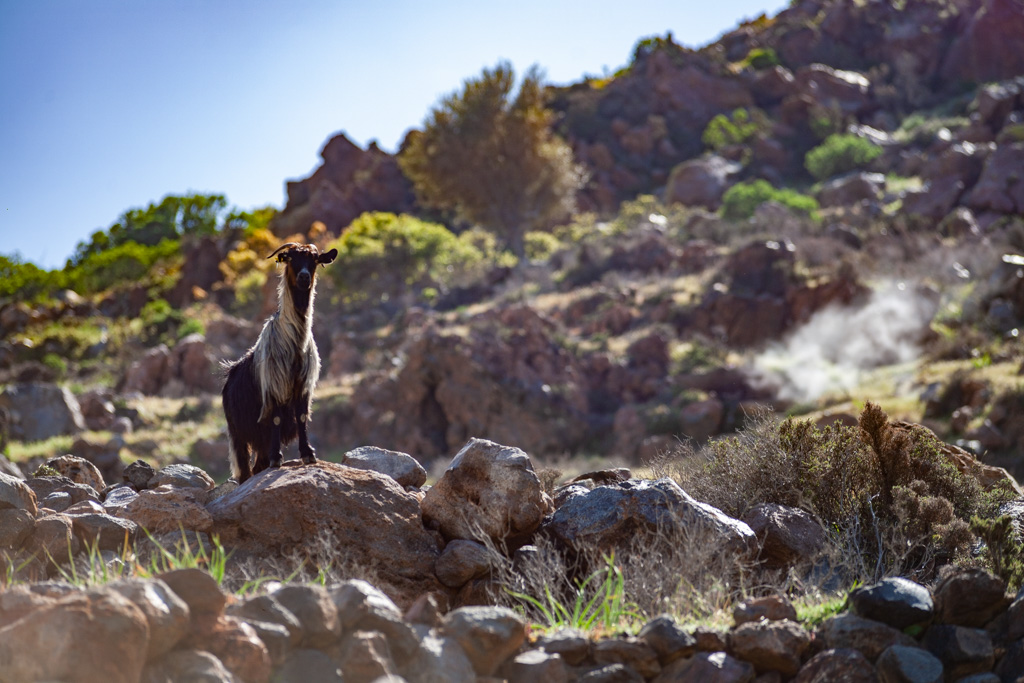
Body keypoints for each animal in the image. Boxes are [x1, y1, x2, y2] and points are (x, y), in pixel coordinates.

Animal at [222, 242, 337, 483]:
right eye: (290, 258)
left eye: (314, 260)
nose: (304, 277)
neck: (294, 341)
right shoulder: (274, 385)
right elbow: (275, 419)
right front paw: (277, 458)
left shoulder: (302, 384)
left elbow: (301, 416)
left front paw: (308, 453)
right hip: (238, 435)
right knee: (245, 469)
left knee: (258, 465)